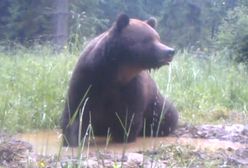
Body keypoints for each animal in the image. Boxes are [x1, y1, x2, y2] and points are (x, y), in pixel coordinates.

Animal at [61, 13, 178, 146]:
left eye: (158, 38)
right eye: (148, 39)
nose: (170, 51)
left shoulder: (131, 86)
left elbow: (129, 114)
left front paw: (124, 135)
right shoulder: (88, 77)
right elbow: (77, 108)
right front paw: (72, 139)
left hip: (155, 102)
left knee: (167, 114)